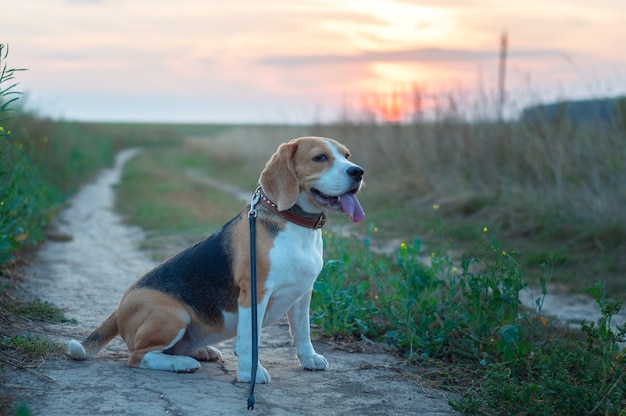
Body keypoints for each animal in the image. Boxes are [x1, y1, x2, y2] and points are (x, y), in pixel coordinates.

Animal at [67, 136, 366, 384]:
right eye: (320, 157)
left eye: (347, 155)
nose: (358, 171)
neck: (295, 224)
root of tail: (119, 308)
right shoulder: (254, 293)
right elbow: (249, 340)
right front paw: (250, 374)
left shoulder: (303, 293)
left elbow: (302, 332)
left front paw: (309, 359)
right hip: (173, 315)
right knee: (138, 357)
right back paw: (180, 364)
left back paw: (199, 352)